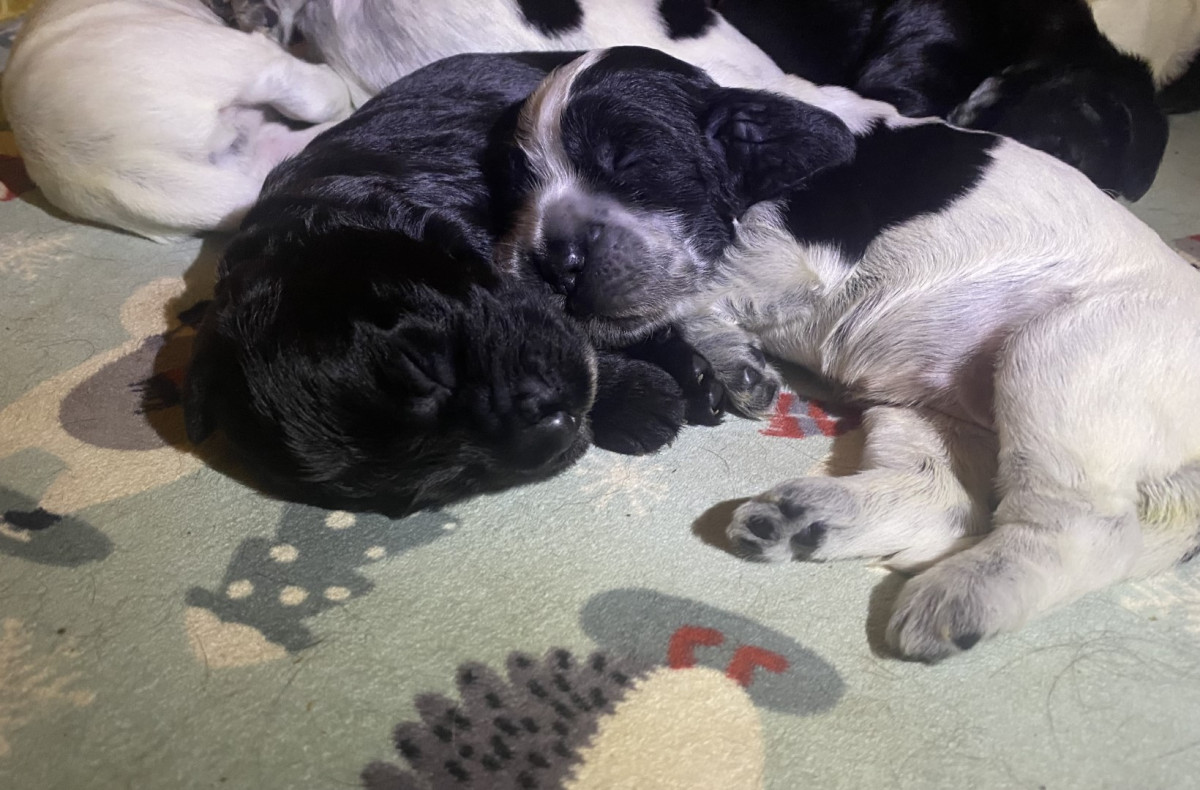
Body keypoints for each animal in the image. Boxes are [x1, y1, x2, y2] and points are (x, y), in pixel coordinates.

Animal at [506, 47, 1200, 661]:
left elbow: (690, 289)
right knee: (945, 502)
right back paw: (801, 519)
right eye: (525, 183)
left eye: (628, 163)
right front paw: (732, 365)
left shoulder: (788, 263)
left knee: (1084, 528)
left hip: (1065, 356)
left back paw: (958, 598)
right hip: (930, 408)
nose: (554, 264)